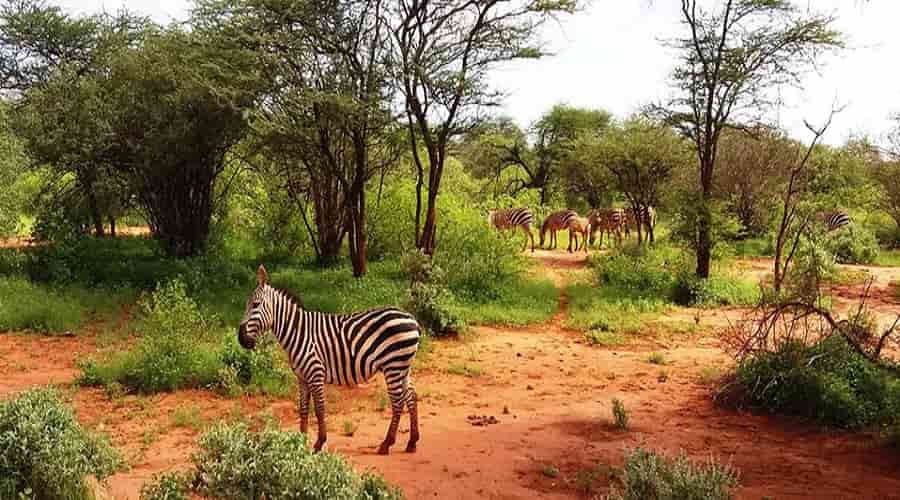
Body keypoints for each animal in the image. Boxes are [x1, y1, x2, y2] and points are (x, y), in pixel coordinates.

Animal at [239, 266, 422, 458]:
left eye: (255, 305)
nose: (241, 339)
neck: (297, 332)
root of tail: (412, 320)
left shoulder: (315, 372)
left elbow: (319, 409)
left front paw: (319, 443)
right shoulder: (302, 377)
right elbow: (303, 409)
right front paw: (300, 441)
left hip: (393, 366)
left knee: (398, 402)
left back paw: (387, 444)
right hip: (403, 367)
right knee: (411, 397)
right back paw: (412, 442)